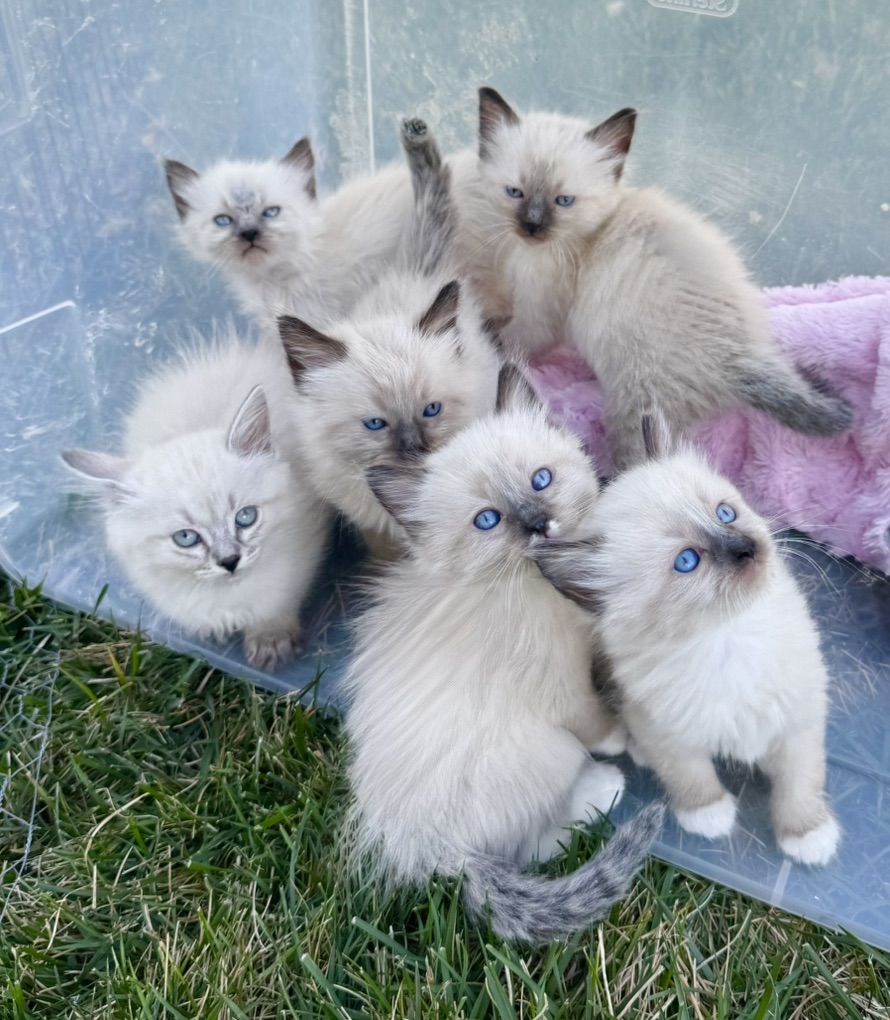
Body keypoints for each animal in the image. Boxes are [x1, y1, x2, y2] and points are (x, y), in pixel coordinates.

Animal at [61, 335, 328, 670]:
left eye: (245, 517)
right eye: (186, 537)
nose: (230, 561)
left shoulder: (298, 562)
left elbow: (275, 607)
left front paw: (271, 642)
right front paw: (210, 632)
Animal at [344, 363, 663, 943]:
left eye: (541, 480)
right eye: (488, 520)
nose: (539, 522)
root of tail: (421, 843)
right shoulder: (561, 686)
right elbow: (595, 719)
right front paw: (622, 740)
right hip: (549, 750)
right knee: (531, 845)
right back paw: (605, 786)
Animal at [454, 86, 852, 469]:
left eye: (564, 201)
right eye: (514, 192)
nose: (532, 226)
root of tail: (738, 359)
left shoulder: (540, 313)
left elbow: (512, 338)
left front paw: (488, 334)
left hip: (634, 407)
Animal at [534, 415, 840, 866]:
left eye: (725, 513)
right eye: (687, 561)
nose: (748, 549)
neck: (728, 637)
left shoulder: (798, 720)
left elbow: (799, 782)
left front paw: (807, 837)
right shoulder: (668, 731)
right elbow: (689, 773)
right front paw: (709, 817)